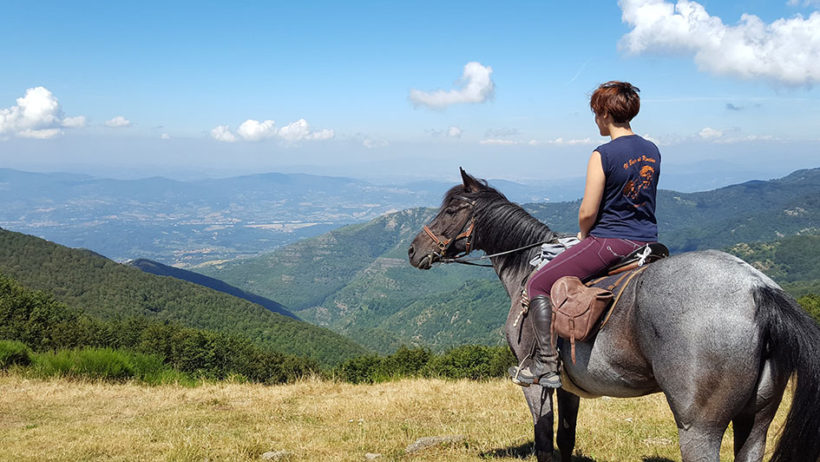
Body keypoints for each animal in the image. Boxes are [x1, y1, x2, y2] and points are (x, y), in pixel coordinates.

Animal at [408, 170, 820, 462]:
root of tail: (758, 288)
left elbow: (544, 444)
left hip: (699, 428)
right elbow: (566, 439)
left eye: (450, 210)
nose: (413, 250)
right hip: (757, 420)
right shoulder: (568, 386)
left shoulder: (534, 384)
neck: (528, 265)